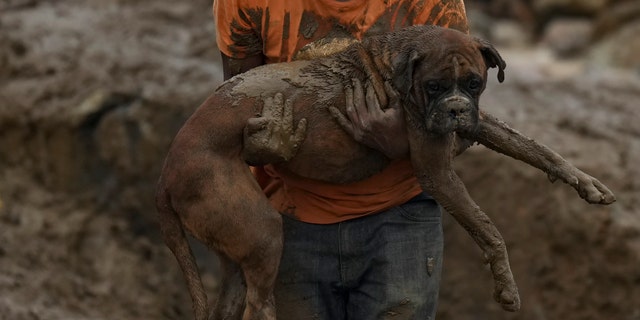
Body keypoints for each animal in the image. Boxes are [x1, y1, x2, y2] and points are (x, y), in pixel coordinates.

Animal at [156, 25, 616, 320]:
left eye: (474, 83)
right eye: (434, 86)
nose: (455, 110)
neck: (399, 63)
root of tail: (166, 170)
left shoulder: (477, 122)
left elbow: (532, 146)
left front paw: (583, 181)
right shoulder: (437, 171)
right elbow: (488, 228)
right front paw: (506, 287)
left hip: (237, 247)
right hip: (261, 229)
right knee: (259, 302)